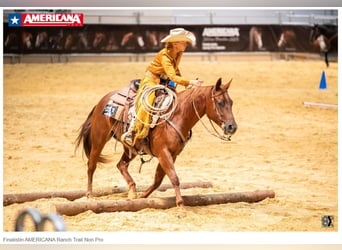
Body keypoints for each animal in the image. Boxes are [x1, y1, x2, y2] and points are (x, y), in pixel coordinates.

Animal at [75, 78, 236, 207]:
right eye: (220, 102)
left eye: (231, 102)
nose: (232, 127)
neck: (177, 115)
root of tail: (102, 100)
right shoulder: (163, 153)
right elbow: (174, 178)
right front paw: (181, 207)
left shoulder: (172, 155)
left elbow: (159, 180)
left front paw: (142, 197)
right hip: (99, 139)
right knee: (91, 165)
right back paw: (89, 195)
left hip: (132, 147)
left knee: (121, 165)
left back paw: (132, 191)